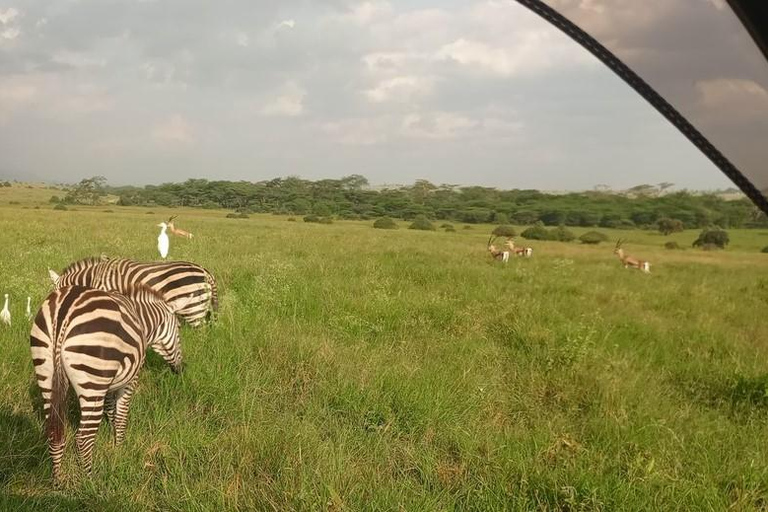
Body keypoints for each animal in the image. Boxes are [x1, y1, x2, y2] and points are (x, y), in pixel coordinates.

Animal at [29, 286, 192, 486]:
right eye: (178, 329)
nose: (181, 369)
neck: (143, 320)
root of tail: (64, 310)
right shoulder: (131, 379)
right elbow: (121, 415)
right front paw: (120, 449)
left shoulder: (108, 384)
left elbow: (111, 410)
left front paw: (113, 443)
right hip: (92, 379)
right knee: (83, 439)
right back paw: (91, 482)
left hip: (47, 374)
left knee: (54, 434)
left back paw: (57, 481)